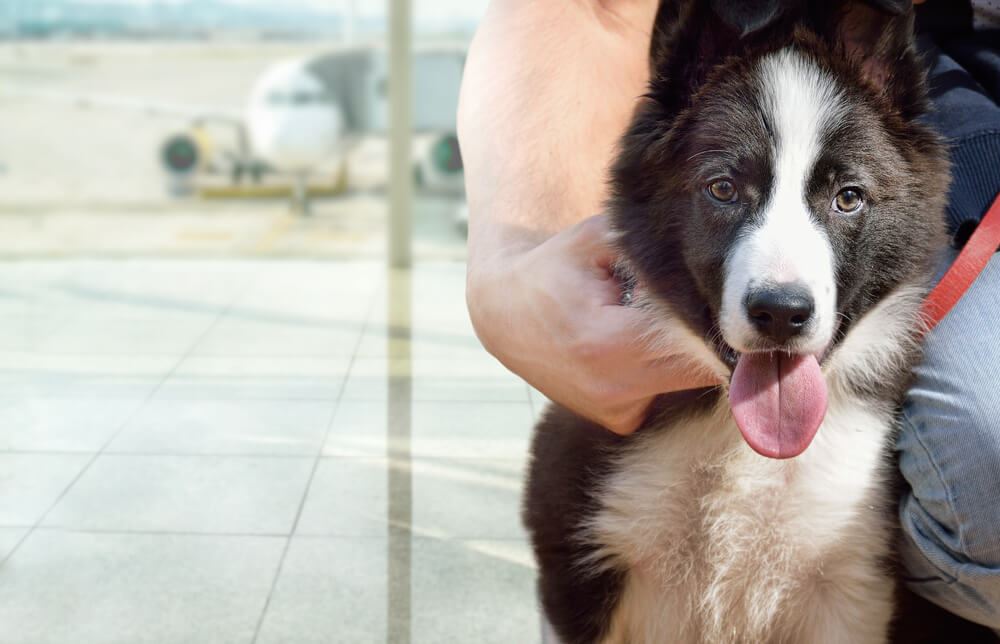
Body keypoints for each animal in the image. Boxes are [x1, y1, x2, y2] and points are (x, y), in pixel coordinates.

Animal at [524, 1, 992, 644]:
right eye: (723, 188)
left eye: (849, 197)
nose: (781, 312)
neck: (745, 445)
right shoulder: (580, 559)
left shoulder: (852, 583)